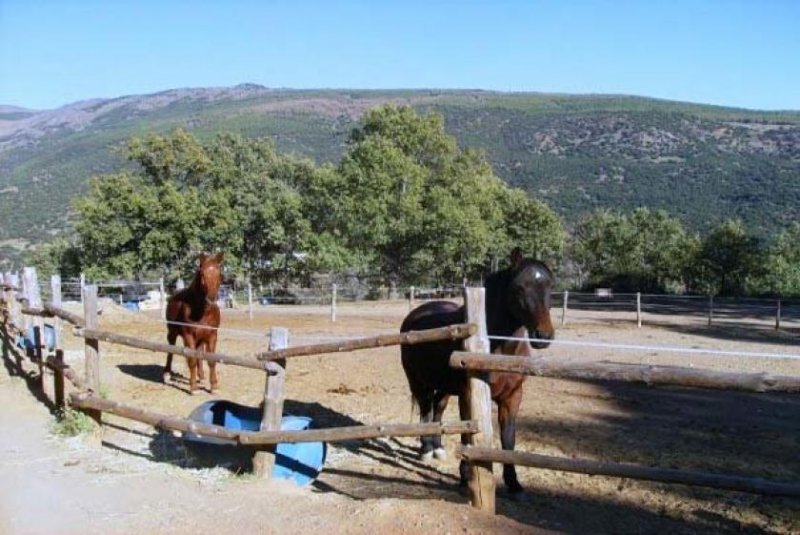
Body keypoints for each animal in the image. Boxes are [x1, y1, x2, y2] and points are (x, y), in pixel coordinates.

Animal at [163, 251, 223, 394]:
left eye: (219, 274)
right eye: (202, 274)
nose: (211, 300)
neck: (202, 311)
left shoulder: (212, 336)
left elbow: (211, 360)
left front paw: (214, 386)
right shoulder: (188, 336)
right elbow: (192, 360)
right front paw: (193, 388)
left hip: (200, 338)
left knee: (199, 353)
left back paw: (201, 377)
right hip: (172, 333)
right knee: (170, 350)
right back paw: (167, 374)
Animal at [404, 249, 552, 500]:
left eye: (550, 285)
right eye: (520, 287)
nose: (543, 336)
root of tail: (415, 314)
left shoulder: (512, 396)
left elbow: (508, 440)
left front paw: (514, 484)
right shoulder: (468, 395)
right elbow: (468, 436)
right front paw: (466, 479)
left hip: (443, 387)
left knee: (437, 409)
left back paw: (438, 448)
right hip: (418, 382)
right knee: (425, 411)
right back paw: (426, 450)